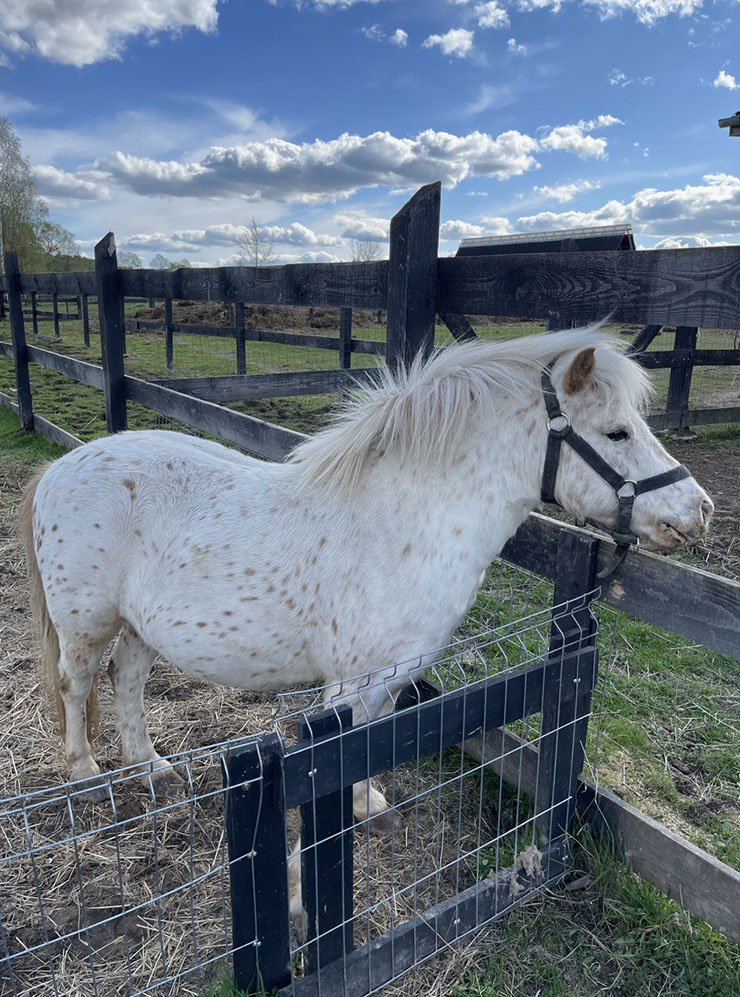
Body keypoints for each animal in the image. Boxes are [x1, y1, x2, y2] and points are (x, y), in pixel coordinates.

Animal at [18, 330, 712, 820]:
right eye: (616, 432)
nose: (699, 510)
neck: (404, 521)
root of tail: (57, 471)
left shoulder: (392, 675)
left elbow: (370, 743)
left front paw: (366, 804)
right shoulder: (350, 680)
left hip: (140, 626)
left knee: (127, 679)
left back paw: (152, 767)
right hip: (86, 623)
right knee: (77, 685)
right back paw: (86, 775)